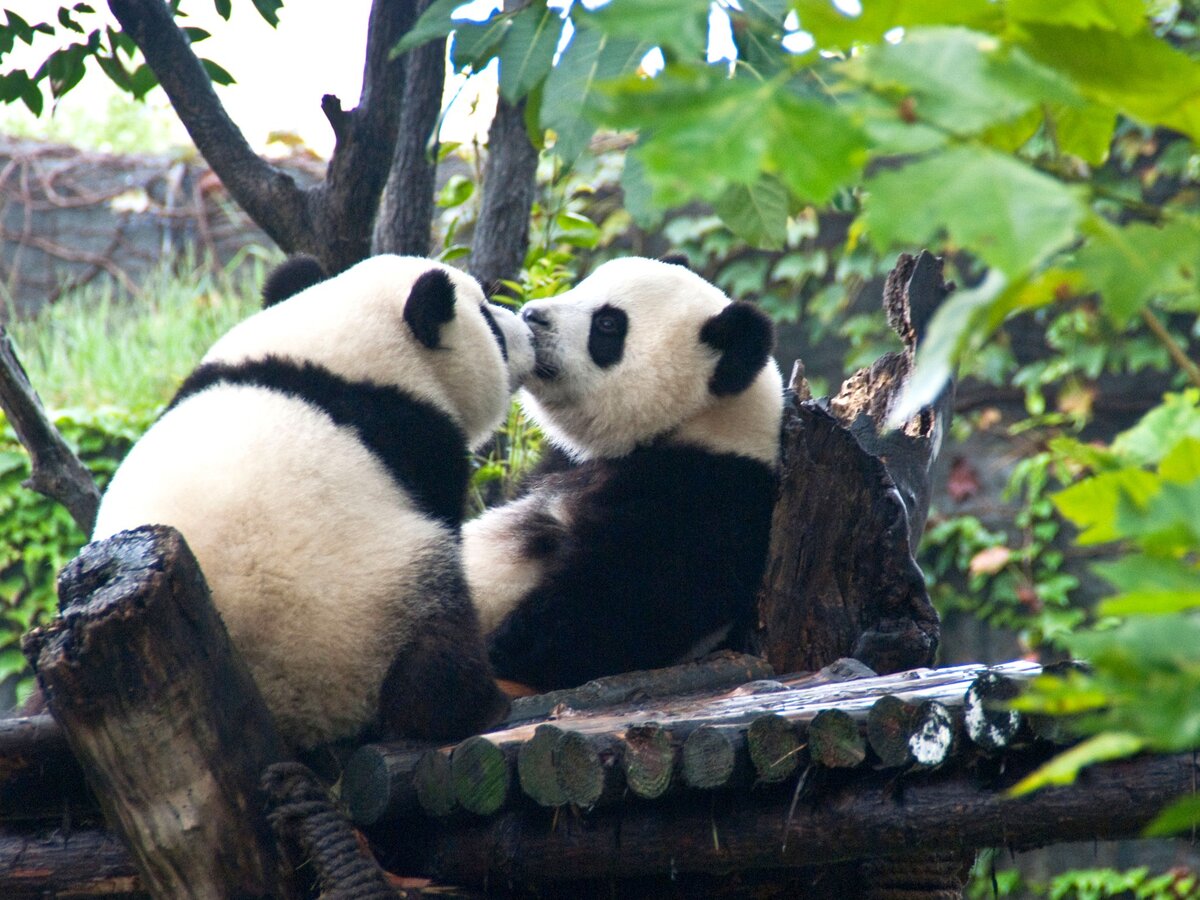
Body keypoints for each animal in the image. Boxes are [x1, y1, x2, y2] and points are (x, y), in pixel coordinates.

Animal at [88, 255, 530, 753]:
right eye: (489, 317)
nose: (526, 330)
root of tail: (289, 721)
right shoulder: (418, 441)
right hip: (371, 612)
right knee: (436, 638)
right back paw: (477, 708)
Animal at [460, 256, 787, 696]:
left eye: (608, 324)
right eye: (581, 286)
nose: (532, 315)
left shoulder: (707, 498)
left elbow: (620, 607)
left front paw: (502, 647)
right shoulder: (564, 463)